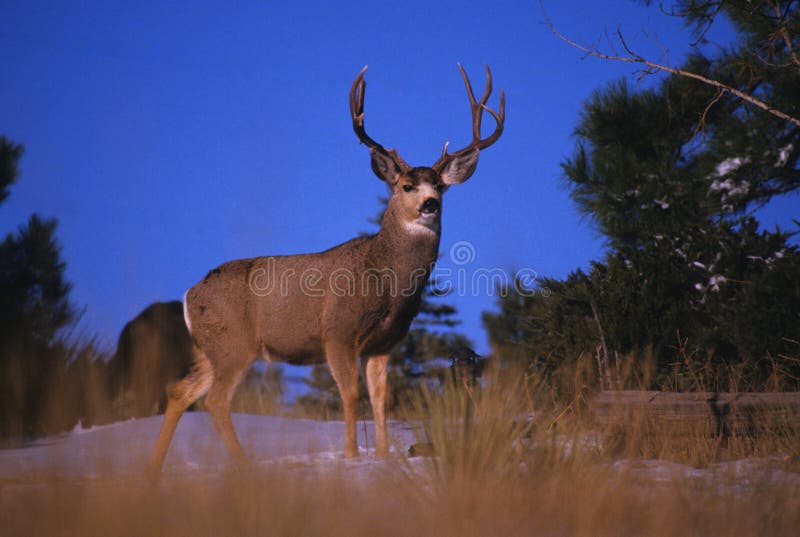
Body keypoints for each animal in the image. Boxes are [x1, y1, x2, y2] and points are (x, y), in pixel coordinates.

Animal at [148, 65, 504, 474]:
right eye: (406, 185)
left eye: (441, 187)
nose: (430, 204)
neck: (384, 278)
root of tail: (189, 295)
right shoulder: (337, 332)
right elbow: (349, 395)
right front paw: (351, 457)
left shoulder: (384, 344)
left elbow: (381, 399)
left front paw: (382, 456)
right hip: (234, 343)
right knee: (216, 400)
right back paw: (244, 466)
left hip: (211, 348)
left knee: (181, 391)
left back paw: (153, 470)